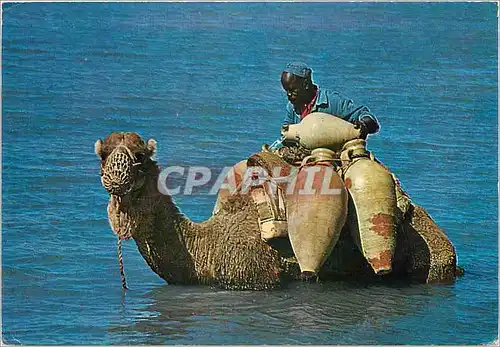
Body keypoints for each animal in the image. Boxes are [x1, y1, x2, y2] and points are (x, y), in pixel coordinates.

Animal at [95, 131, 458, 290]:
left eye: (140, 156)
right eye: (102, 154)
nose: (115, 178)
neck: (206, 249)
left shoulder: (256, 278)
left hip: (431, 256)